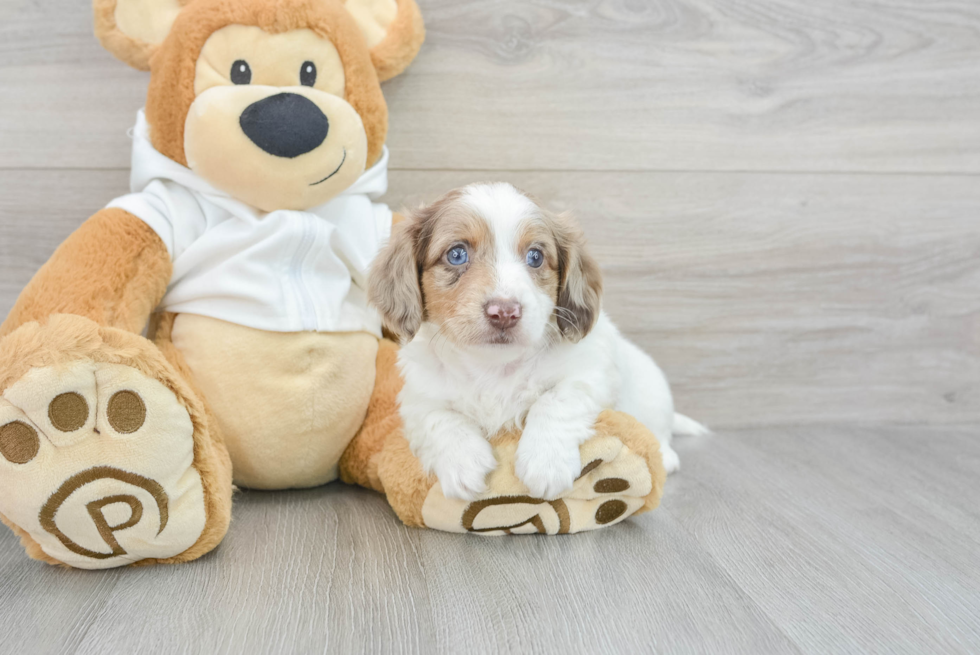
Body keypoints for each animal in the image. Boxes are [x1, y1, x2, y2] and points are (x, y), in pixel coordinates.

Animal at [370, 184, 704, 502]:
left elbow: (555, 401)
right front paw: (463, 463)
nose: (505, 312)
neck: (493, 367)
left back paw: (667, 456)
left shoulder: (590, 374)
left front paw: (546, 462)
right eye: (456, 254)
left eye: (535, 256)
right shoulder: (418, 397)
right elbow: (439, 418)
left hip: (653, 396)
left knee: (660, 432)